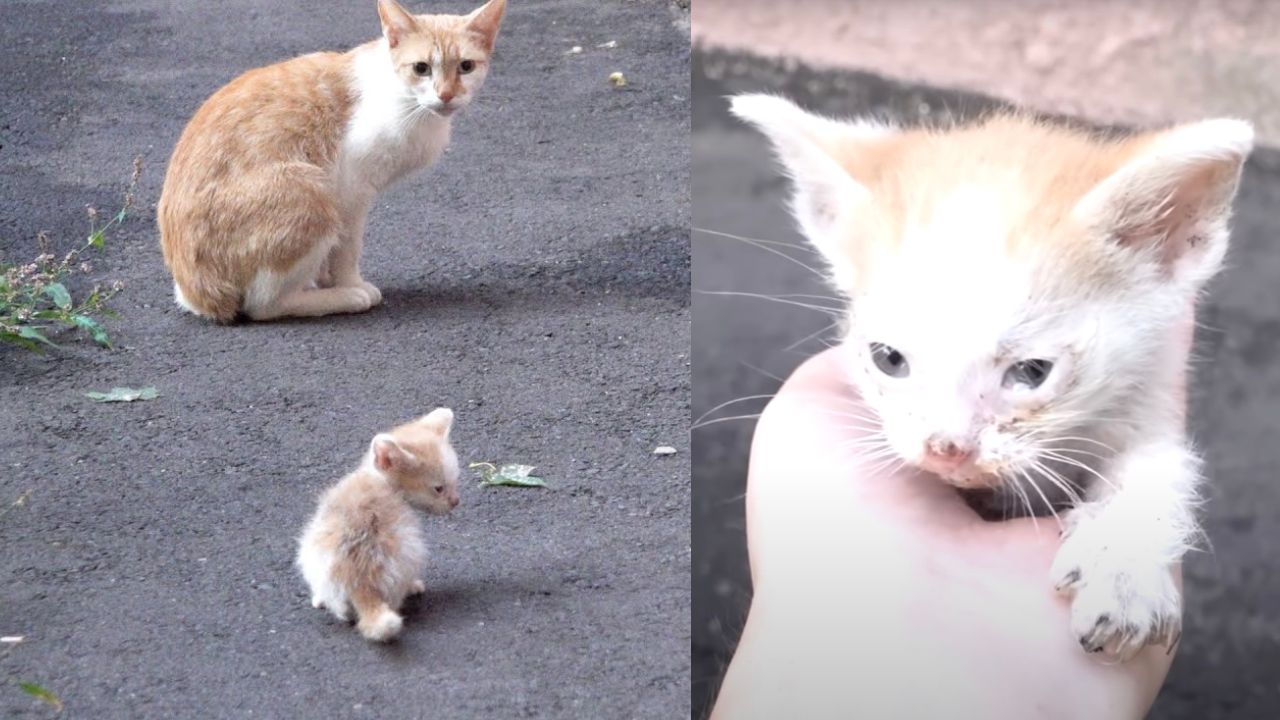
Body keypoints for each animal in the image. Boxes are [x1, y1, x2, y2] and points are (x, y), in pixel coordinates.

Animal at [156, 0, 504, 320]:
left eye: (466, 67)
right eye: (421, 68)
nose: (446, 94)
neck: (408, 103)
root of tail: (199, 296)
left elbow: (334, 254)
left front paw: (326, 278)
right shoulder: (351, 188)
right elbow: (347, 249)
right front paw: (349, 284)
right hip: (310, 191)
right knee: (262, 306)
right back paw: (341, 298)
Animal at [296, 407, 463, 640]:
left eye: (455, 480)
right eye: (438, 488)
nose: (456, 501)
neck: (381, 481)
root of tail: (360, 582)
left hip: (311, 553)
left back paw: (320, 599)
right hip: (411, 552)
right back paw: (411, 588)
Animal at [737, 95, 1254, 661]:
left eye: (1031, 372)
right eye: (888, 358)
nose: (946, 448)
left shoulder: (1151, 389)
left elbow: (1159, 461)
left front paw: (1122, 564)